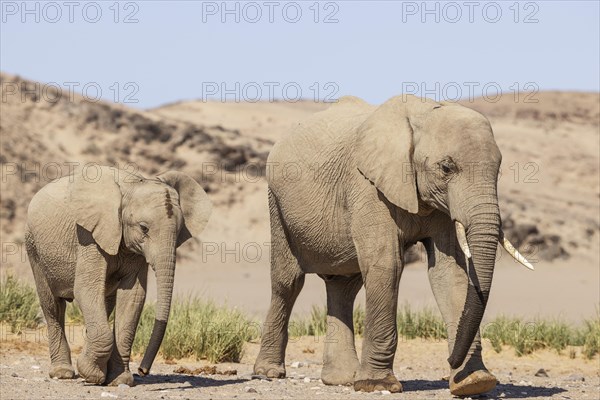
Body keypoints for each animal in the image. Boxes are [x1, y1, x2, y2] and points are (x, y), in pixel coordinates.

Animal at [26, 166, 213, 384]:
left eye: (180, 230)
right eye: (143, 228)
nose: (142, 370)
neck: (132, 186)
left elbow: (133, 296)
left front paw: (119, 380)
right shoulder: (90, 236)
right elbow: (86, 289)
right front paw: (93, 375)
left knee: (104, 304)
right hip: (34, 247)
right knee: (52, 305)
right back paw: (62, 373)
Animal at [251, 95, 532, 396]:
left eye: (498, 169)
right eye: (447, 168)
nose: (449, 360)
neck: (422, 114)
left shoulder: (441, 204)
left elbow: (449, 273)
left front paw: (475, 382)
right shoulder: (368, 186)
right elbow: (387, 266)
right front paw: (376, 385)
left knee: (343, 286)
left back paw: (342, 379)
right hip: (277, 203)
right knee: (288, 283)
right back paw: (269, 372)